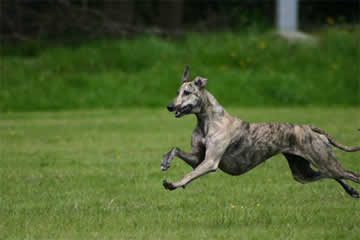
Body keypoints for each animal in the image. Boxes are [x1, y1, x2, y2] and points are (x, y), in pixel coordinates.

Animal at [161, 65, 360, 197]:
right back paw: (351, 190)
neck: (208, 120)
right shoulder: (197, 158)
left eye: (187, 93)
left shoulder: (210, 162)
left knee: (351, 174)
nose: (170, 107)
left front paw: (173, 183)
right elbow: (175, 149)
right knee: (331, 175)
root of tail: (309, 127)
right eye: (177, 91)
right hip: (304, 173)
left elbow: (189, 175)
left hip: (324, 161)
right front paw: (165, 161)